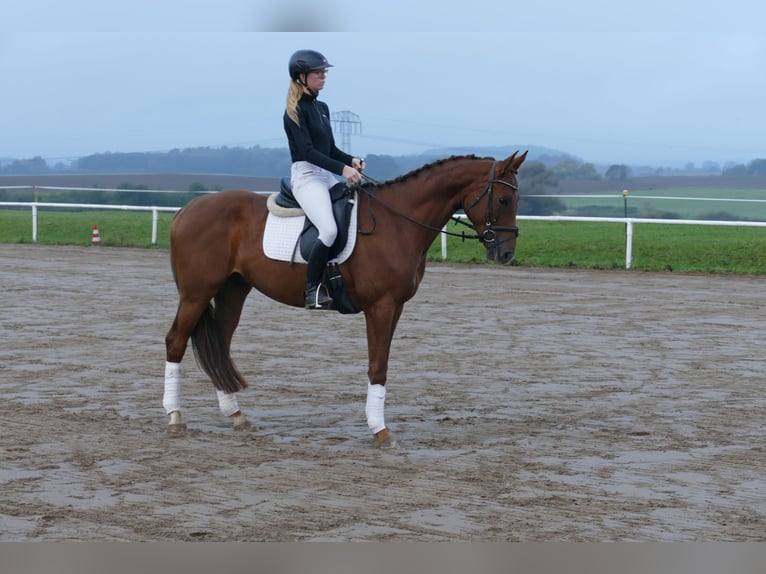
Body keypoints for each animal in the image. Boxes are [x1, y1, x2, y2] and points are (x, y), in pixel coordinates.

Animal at [162, 151, 528, 448]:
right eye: (504, 200)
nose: (506, 253)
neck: (398, 222)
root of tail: (185, 210)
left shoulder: (396, 307)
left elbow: (382, 364)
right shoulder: (380, 306)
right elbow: (377, 366)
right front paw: (381, 431)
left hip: (232, 290)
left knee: (220, 344)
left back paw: (235, 414)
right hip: (197, 292)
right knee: (176, 340)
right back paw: (176, 417)